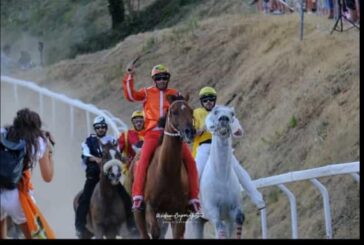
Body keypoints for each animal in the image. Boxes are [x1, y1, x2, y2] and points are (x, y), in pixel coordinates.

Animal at [134, 94, 196, 239]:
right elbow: (155, 232)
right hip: (139, 212)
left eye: (191, 111)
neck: (167, 171)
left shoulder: (179, 211)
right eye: (174, 112)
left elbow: (177, 234)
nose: (190, 132)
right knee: (144, 232)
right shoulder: (150, 206)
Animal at [191, 106, 245, 239]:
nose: (224, 119)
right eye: (215, 112)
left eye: (232, 114)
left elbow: (238, 220)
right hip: (196, 219)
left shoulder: (233, 211)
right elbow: (220, 231)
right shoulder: (213, 212)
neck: (221, 177)